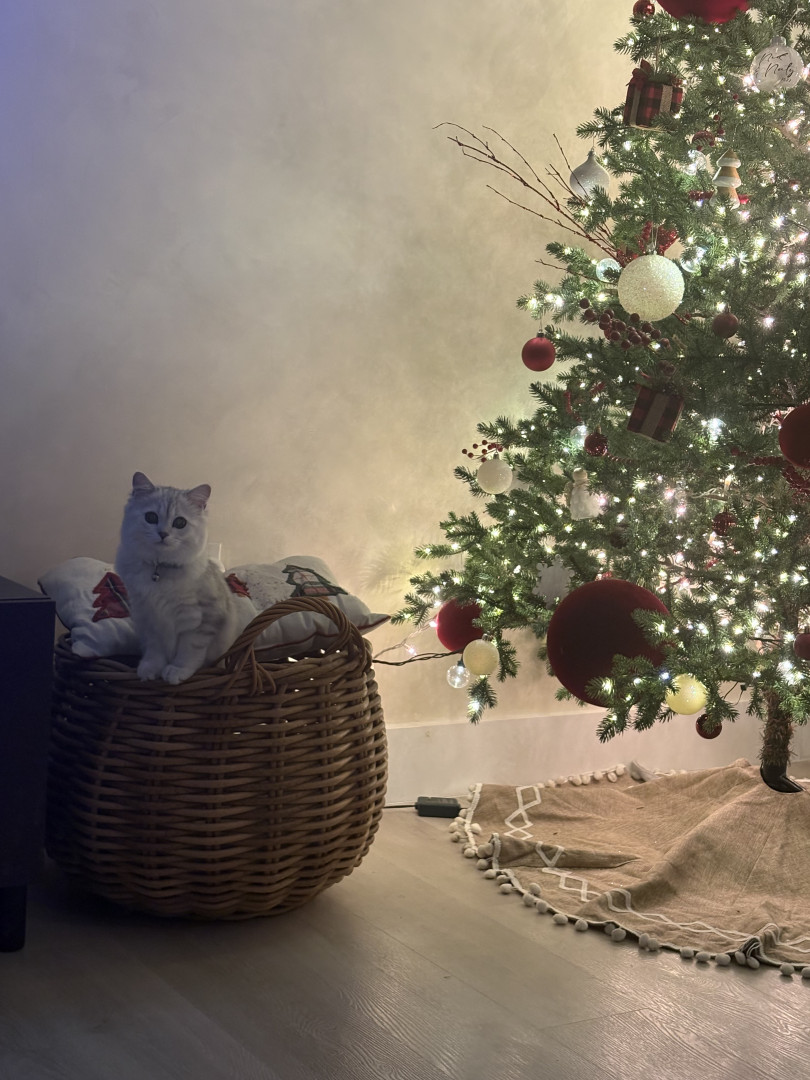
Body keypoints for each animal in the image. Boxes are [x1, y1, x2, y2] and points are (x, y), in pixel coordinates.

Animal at [115, 472, 253, 683]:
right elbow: (155, 652)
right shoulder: (150, 619)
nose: (163, 534)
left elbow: (189, 652)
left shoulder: (203, 620)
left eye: (180, 523)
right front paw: (150, 670)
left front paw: (176, 671)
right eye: (151, 517)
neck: (160, 569)